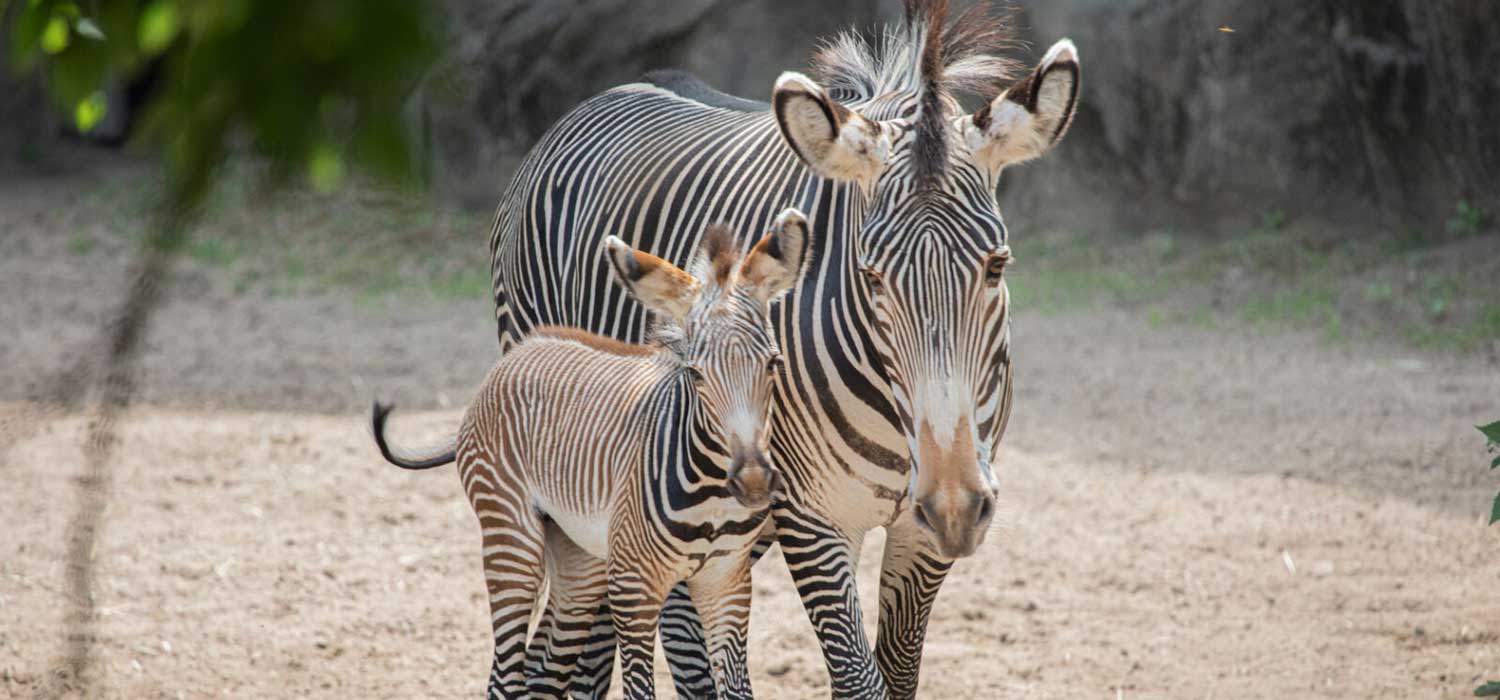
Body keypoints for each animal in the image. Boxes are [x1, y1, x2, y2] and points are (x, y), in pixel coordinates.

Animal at [373, 209, 816, 700]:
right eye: (695, 374)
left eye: (774, 364)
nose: (753, 480)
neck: (710, 494)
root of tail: (524, 349)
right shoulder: (633, 586)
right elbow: (639, 688)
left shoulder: (727, 583)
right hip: (510, 536)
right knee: (506, 674)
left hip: (578, 558)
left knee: (545, 668)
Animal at [489, 2, 1080, 698]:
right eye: (871, 276)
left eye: (996, 266)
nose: (956, 506)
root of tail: (609, 94)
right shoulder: (811, 518)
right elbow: (857, 679)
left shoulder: (920, 534)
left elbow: (897, 672)